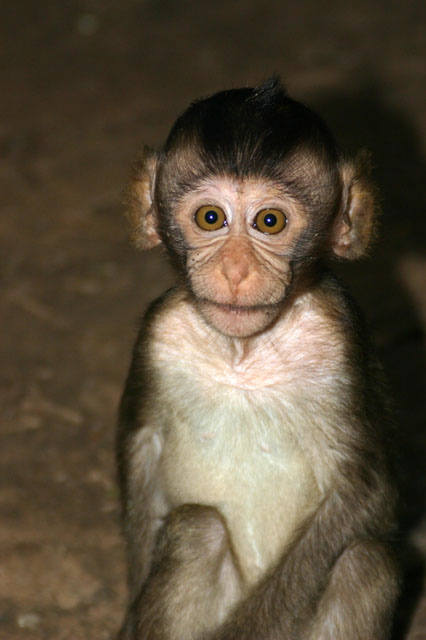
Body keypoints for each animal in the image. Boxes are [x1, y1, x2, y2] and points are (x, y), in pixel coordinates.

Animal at [116, 78, 399, 640]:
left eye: (270, 221)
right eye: (210, 218)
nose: (235, 270)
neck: (241, 356)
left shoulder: (339, 337)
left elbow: (363, 492)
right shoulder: (159, 331)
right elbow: (142, 452)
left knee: (365, 564)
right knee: (195, 528)